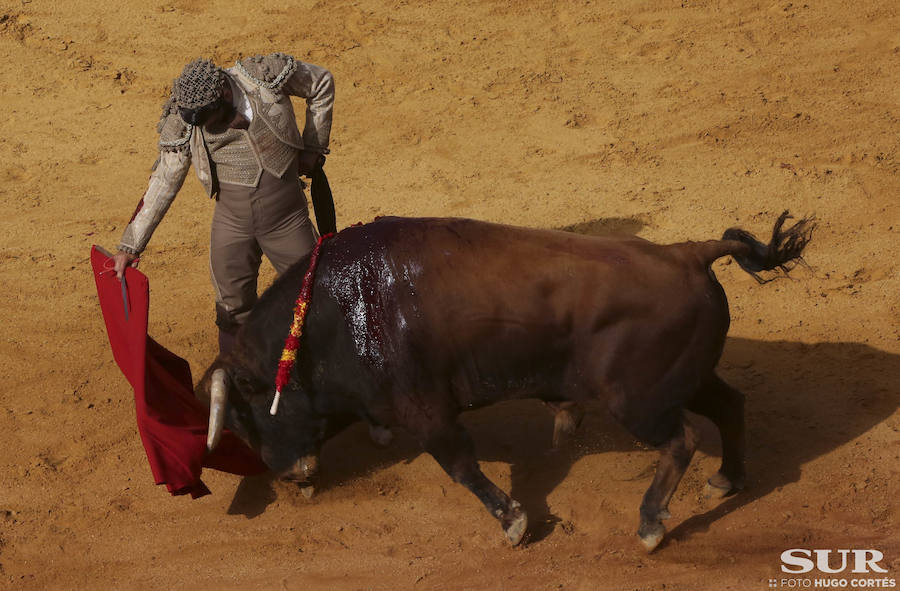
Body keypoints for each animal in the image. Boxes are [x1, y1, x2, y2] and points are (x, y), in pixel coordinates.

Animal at [195, 213, 816, 552]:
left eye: (248, 409)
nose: (290, 475)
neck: (333, 316)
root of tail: (689, 253)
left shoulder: (427, 412)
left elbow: (462, 467)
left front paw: (514, 522)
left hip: (638, 401)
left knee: (680, 440)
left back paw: (648, 526)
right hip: (687, 379)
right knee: (731, 405)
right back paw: (727, 479)